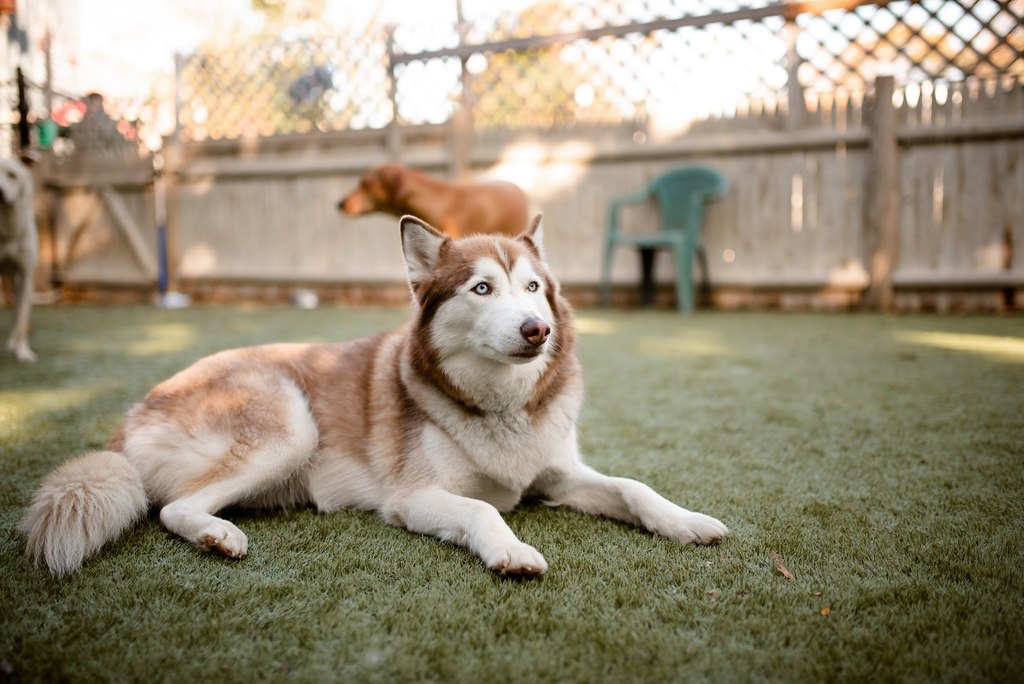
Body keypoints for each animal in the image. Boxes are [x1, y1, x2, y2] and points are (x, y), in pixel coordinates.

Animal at [22, 214, 727, 577]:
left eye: (532, 287)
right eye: (481, 289)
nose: (538, 330)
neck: (499, 406)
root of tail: (132, 416)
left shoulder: (556, 472)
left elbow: (633, 487)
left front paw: (687, 521)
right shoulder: (413, 497)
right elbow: (483, 509)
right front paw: (510, 551)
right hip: (292, 426)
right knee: (171, 508)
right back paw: (217, 536)